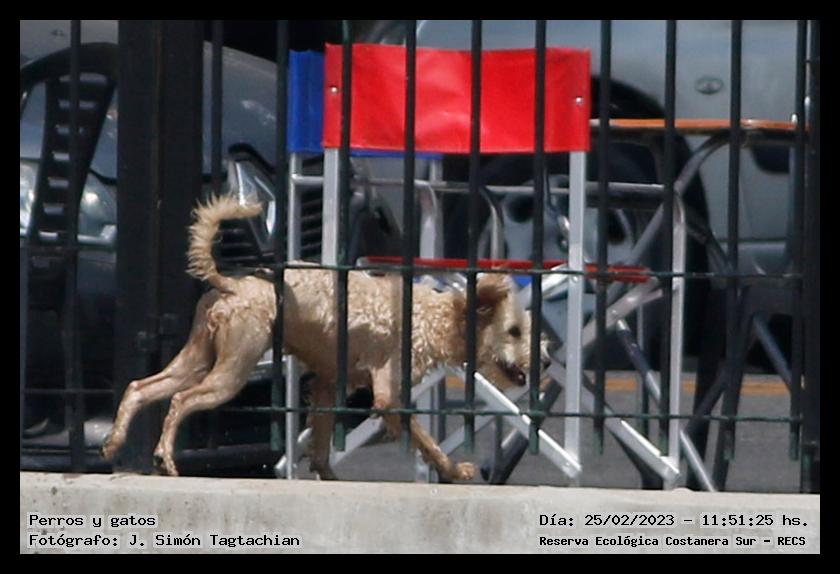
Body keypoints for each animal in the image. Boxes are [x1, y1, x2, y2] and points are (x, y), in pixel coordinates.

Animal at [102, 195, 541, 481]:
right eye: (514, 331)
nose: (546, 360)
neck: (432, 316)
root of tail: (230, 283)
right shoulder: (389, 394)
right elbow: (424, 439)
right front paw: (454, 469)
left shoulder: (330, 382)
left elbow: (322, 437)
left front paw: (326, 474)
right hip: (231, 371)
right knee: (181, 400)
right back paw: (164, 458)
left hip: (195, 359)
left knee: (141, 388)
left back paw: (114, 442)